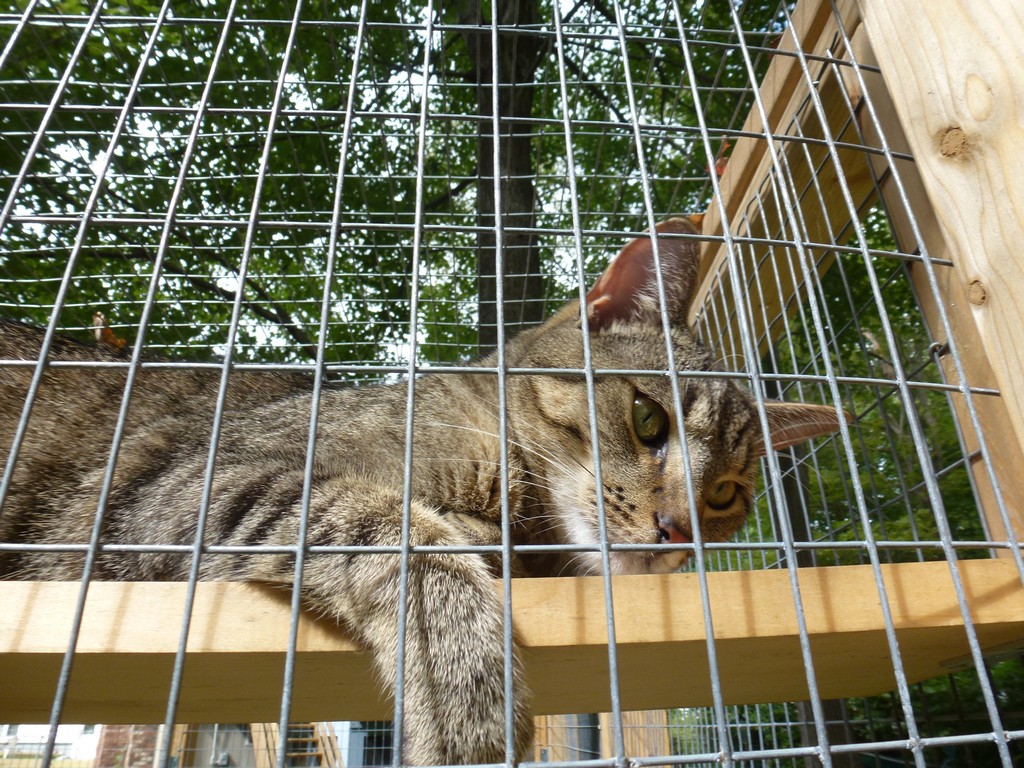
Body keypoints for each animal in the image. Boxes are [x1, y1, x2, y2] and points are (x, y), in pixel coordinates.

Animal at [0, 219, 843, 765]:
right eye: (647, 418)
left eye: (727, 493)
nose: (678, 532)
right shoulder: (177, 492)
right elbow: (388, 530)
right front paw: (468, 687)